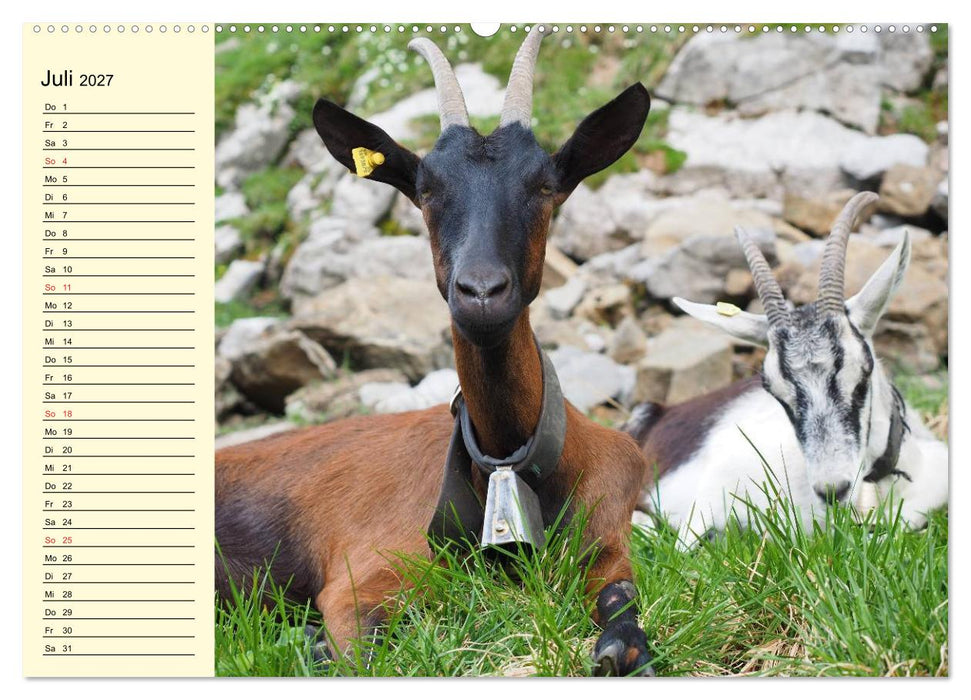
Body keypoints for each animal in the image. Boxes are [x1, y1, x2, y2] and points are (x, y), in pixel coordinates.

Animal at [215, 27, 656, 675]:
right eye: (424, 191)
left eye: (545, 186)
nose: (481, 292)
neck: (509, 467)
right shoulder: (363, 577)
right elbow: (361, 652)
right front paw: (314, 645)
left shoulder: (608, 543)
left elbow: (623, 620)